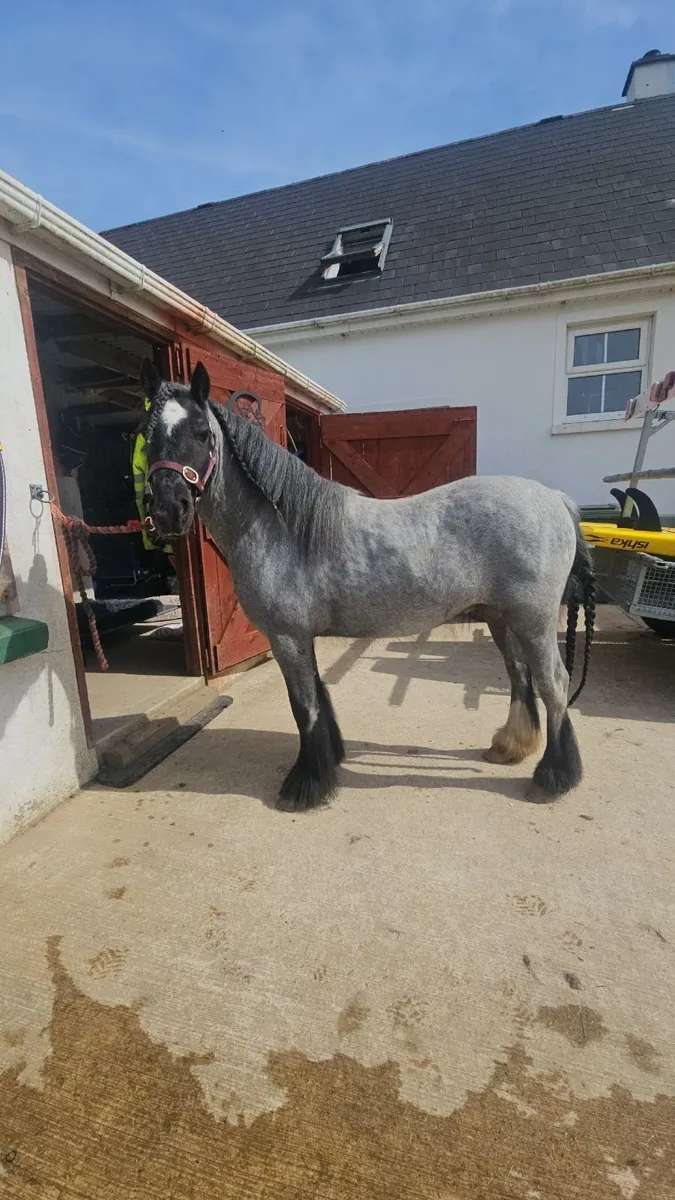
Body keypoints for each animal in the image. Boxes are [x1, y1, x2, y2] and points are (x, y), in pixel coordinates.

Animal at [139, 359, 595, 812]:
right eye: (148, 438)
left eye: (201, 432)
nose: (168, 510)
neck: (283, 527)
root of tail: (556, 499)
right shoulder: (301, 637)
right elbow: (318, 697)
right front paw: (328, 761)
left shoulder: (286, 637)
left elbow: (303, 706)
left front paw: (306, 785)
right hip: (503, 619)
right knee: (520, 675)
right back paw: (511, 747)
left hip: (533, 622)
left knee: (554, 683)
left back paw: (553, 777)